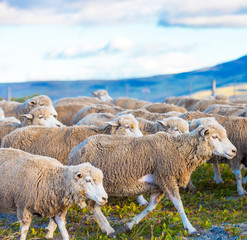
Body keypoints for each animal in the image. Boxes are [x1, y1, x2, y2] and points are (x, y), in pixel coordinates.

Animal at [66, 123, 236, 235]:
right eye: (215, 137)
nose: (234, 150)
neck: (180, 150)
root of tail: (74, 151)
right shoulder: (166, 176)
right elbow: (179, 205)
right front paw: (191, 228)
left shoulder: (158, 184)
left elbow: (151, 206)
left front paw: (130, 224)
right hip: (93, 186)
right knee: (93, 206)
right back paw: (108, 229)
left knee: (93, 206)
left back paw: (109, 229)